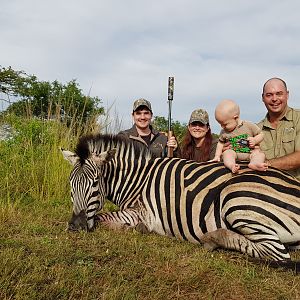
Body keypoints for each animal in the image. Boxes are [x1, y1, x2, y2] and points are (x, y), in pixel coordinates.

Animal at [62, 134, 300, 270]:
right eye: (70, 184)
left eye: (95, 183)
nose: (75, 227)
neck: (137, 179)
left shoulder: (141, 211)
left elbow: (102, 219)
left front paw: (134, 228)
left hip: (237, 199)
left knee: (278, 256)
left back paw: (213, 239)